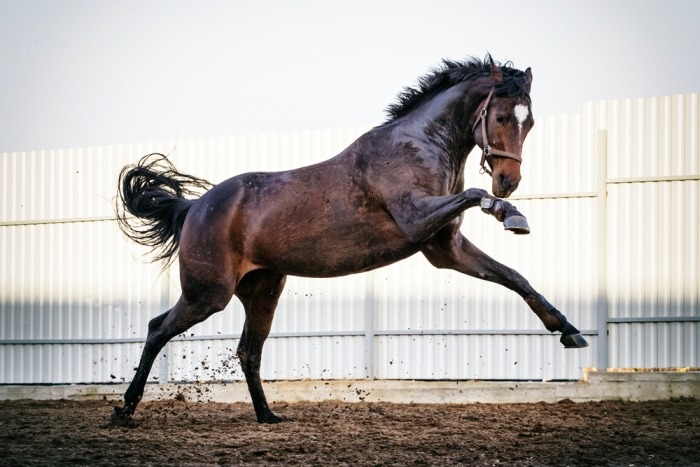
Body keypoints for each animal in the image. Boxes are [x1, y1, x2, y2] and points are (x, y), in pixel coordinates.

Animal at [112, 54, 588, 424]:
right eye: (502, 116)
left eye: (530, 121)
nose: (509, 182)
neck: (420, 145)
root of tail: (194, 208)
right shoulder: (418, 221)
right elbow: (474, 195)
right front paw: (508, 213)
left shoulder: (444, 248)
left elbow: (515, 277)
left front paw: (569, 332)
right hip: (208, 293)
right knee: (158, 329)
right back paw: (125, 409)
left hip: (262, 290)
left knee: (248, 350)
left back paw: (267, 416)